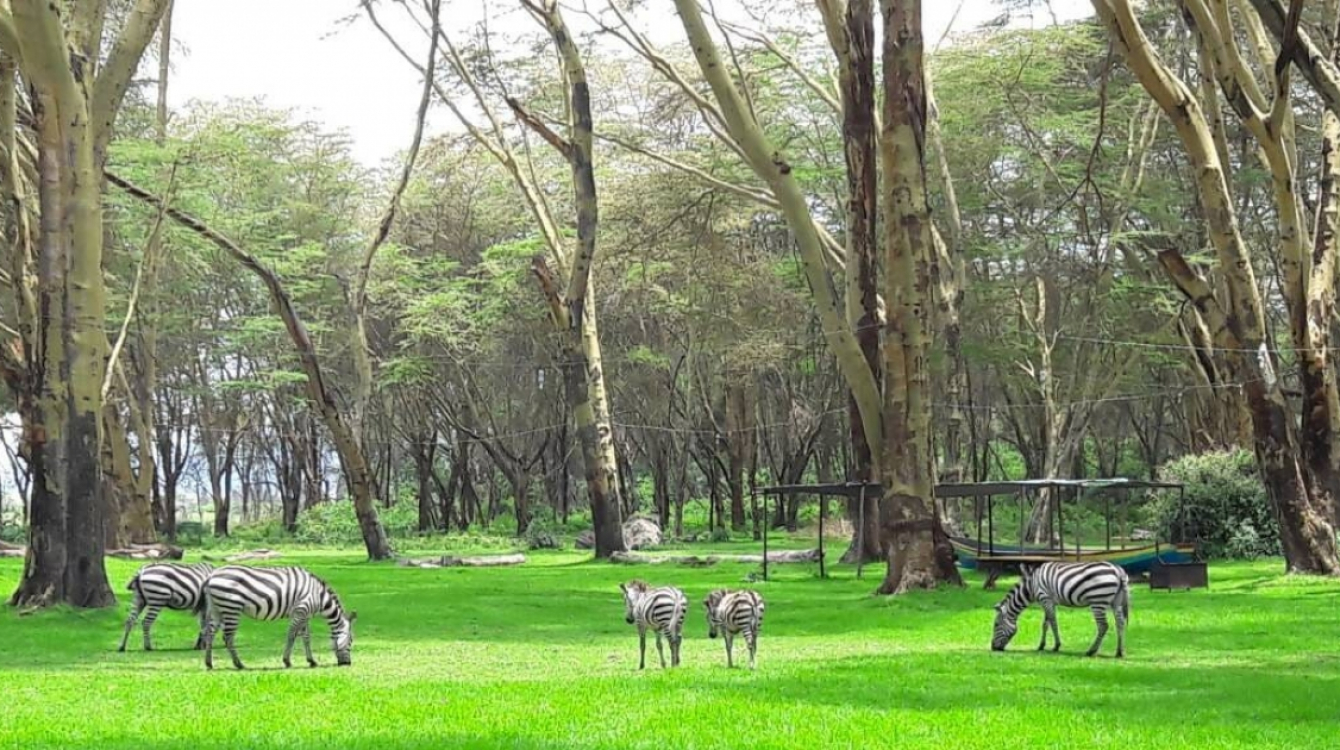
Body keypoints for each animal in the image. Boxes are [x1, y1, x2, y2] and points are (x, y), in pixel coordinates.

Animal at [199, 565, 356, 669]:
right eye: (351, 641)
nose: (347, 664)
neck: (319, 596)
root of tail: (211, 576)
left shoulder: (305, 615)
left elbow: (306, 638)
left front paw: (311, 661)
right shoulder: (301, 610)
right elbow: (292, 635)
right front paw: (287, 661)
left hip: (217, 609)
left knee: (210, 633)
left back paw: (209, 663)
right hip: (231, 608)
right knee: (228, 637)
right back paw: (239, 664)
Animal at [996, 559, 1130, 658]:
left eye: (996, 625)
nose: (993, 648)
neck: (1032, 586)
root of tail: (1117, 570)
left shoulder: (1045, 598)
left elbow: (1053, 623)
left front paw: (1056, 646)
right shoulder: (1048, 601)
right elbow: (1046, 624)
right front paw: (1041, 645)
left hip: (1098, 601)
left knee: (1103, 625)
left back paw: (1091, 651)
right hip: (1116, 602)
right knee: (1120, 623)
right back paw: (1119, 652)